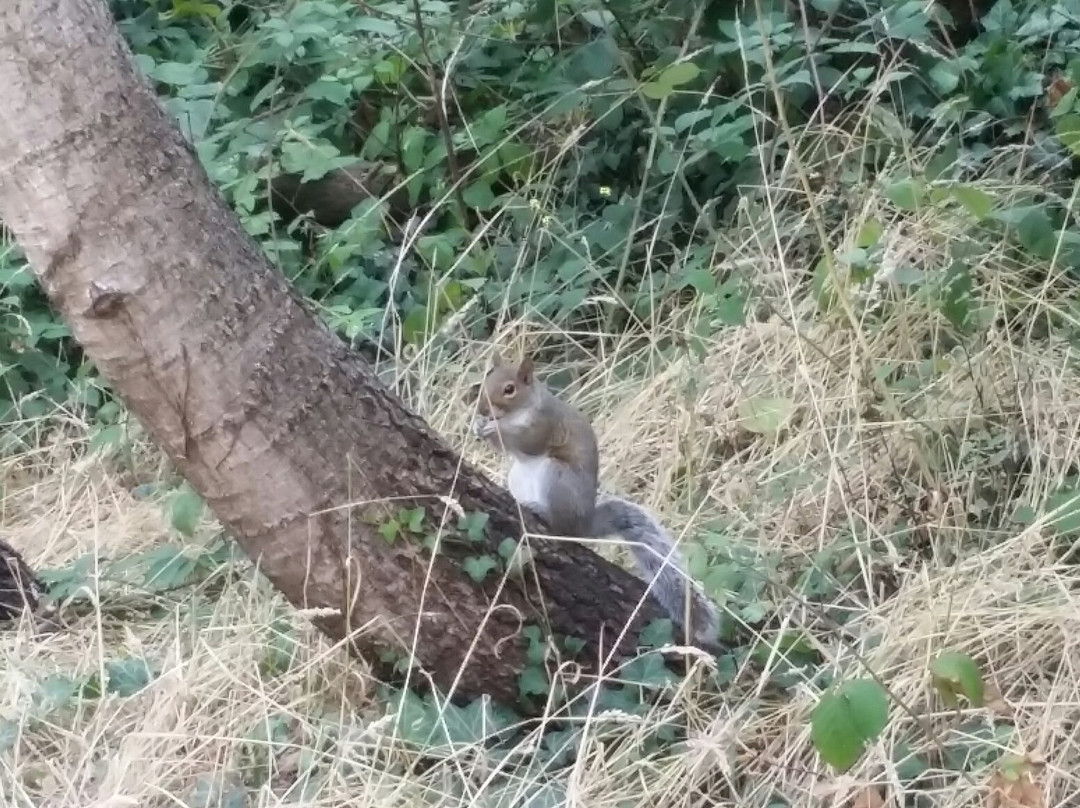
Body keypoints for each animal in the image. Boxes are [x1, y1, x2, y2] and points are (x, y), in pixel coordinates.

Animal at [468, 354, 721, 648]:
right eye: (486, 378)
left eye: (509, 389)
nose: (481, 408)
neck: (522, 410)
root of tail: (584, 524)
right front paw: (478, 426)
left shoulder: (546, 425)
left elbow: (527, 442)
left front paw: (493, 428)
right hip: (518, 476)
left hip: (557, 478)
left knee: (561, 527)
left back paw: (539, 510)